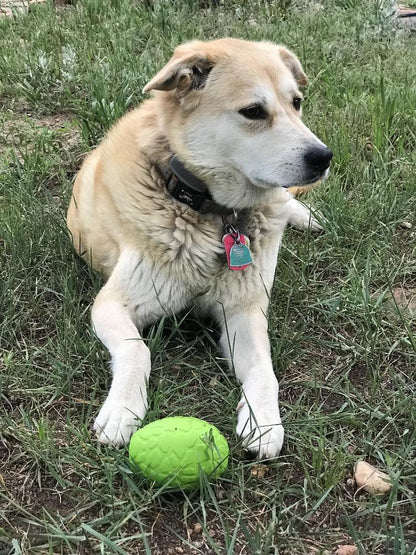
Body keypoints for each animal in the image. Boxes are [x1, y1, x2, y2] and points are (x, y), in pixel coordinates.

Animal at [67, 37, 332, 458]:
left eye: (297, 102)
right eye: (253, 111)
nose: (323, 157)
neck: (217, 218)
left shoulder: (244, 311)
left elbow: (265, 369)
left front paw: (264, 421)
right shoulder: (111, 304)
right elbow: (137, 350)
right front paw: (123, 409)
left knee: (285, 199)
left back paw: (306, 216)